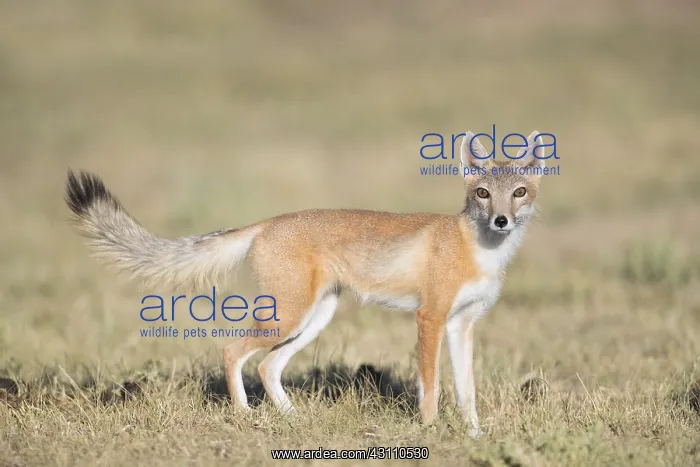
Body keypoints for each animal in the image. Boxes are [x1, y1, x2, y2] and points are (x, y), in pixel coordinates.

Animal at [64, 131, 546, 437]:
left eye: (519, 192)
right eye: (483, 194)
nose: (501, 220)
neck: (477, 248)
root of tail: (267, 222)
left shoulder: (462, 325)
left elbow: (467, 392)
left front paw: (473, 434)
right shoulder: (430, 318)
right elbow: (432, 386)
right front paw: (430, 431)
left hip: (314, 319)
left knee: (267, 366)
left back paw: (292, 420)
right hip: (287, 318)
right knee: (232, 351)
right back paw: (244, 415)